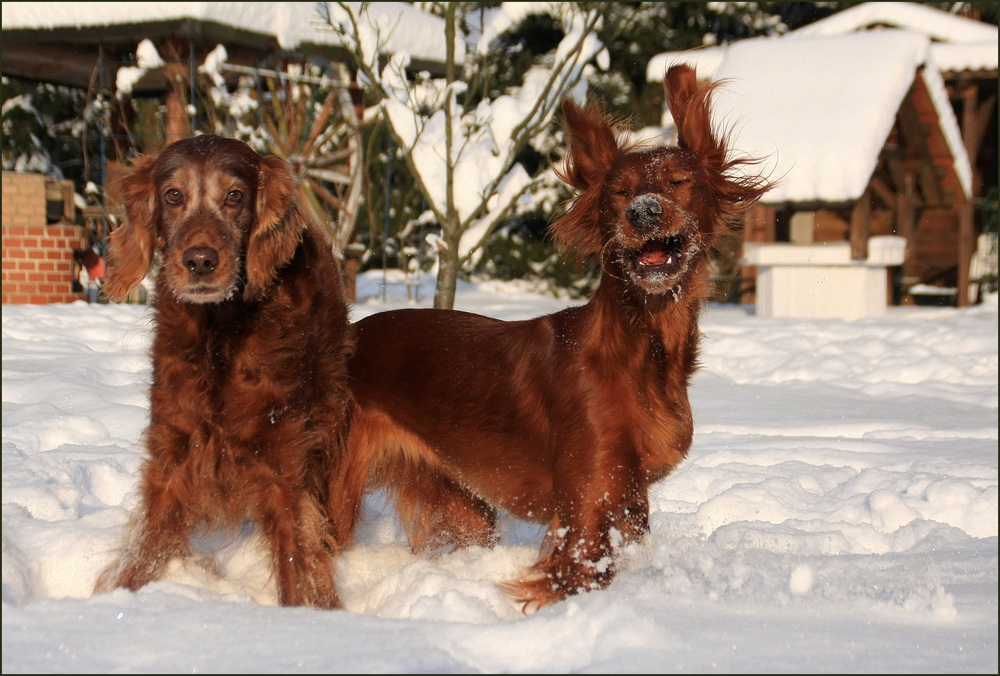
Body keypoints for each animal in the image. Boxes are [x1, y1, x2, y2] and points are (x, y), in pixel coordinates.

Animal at [332, 63, 768, 608]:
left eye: (678, 181)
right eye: (618, 193)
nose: (643, 212)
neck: (639, 348)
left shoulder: (629, 502)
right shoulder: (587, 503)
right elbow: (580, 574)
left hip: (458, 500)